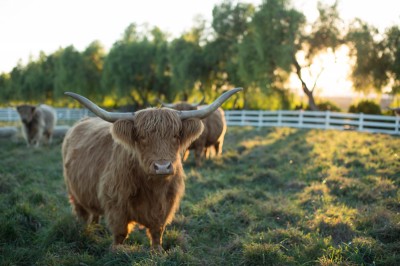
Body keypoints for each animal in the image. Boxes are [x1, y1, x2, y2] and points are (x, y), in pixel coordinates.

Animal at [61, 88, 242, 250]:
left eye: (176, 135)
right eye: (142, 137)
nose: (162, 167)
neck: (153, 187)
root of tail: (81, 122)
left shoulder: (166, 203)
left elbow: (157, 231)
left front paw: (158, 252)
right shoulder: (116, 203)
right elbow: (120, 232)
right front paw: (116, 250)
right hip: (74, 192)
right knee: (83, 212)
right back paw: (84, 230)